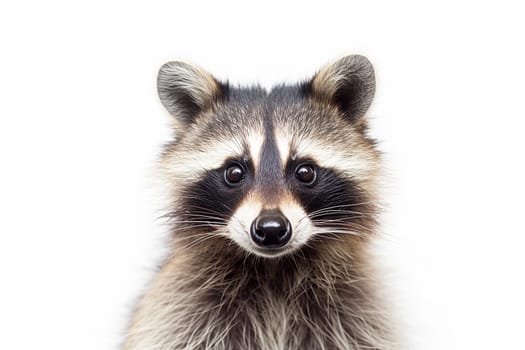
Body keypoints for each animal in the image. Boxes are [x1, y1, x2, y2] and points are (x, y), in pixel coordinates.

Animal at [123, 55, 396, 350]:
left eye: (305, 171)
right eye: (234, 172)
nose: (271, 229)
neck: (273, 270)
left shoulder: (357, 313)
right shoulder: (179, 312)